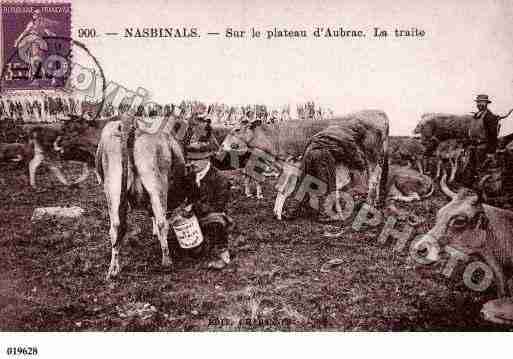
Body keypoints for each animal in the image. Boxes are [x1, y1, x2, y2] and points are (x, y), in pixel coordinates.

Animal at [95, 114, 193, 280]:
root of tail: (131, 125)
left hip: (112, 188)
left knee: (115, 227)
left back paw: (113, 269)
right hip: (157, 183)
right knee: (161, 221)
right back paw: (167, 262)